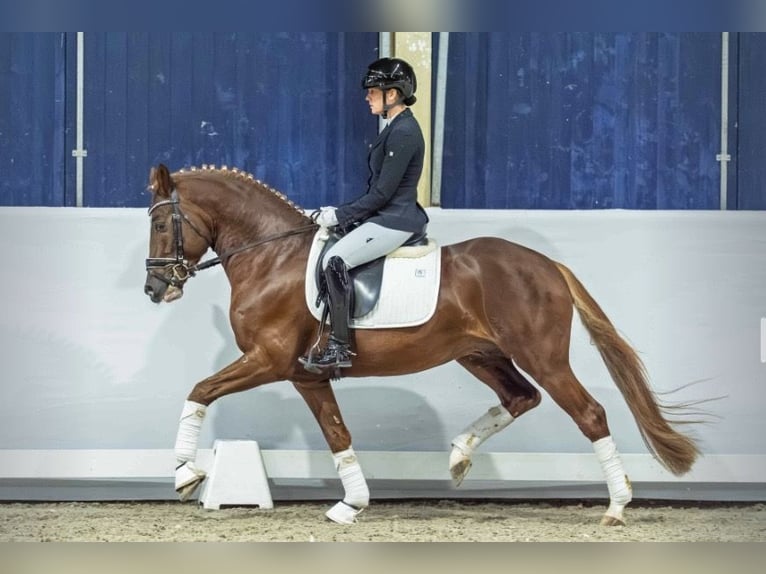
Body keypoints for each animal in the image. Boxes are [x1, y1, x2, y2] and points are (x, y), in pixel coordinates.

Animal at [143, 162, 700, 526]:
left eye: (159, 222)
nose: (154, 288)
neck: (270, 257)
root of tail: (547, 265)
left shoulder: (269, 360)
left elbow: (199, 391)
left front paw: (186, 473)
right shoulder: (306, 374)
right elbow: (337, 434)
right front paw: (352, 504)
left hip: (542, 356)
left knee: (589, 413)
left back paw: (617, 507)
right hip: (480, 354)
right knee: (521, 397)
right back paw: (458, 456)